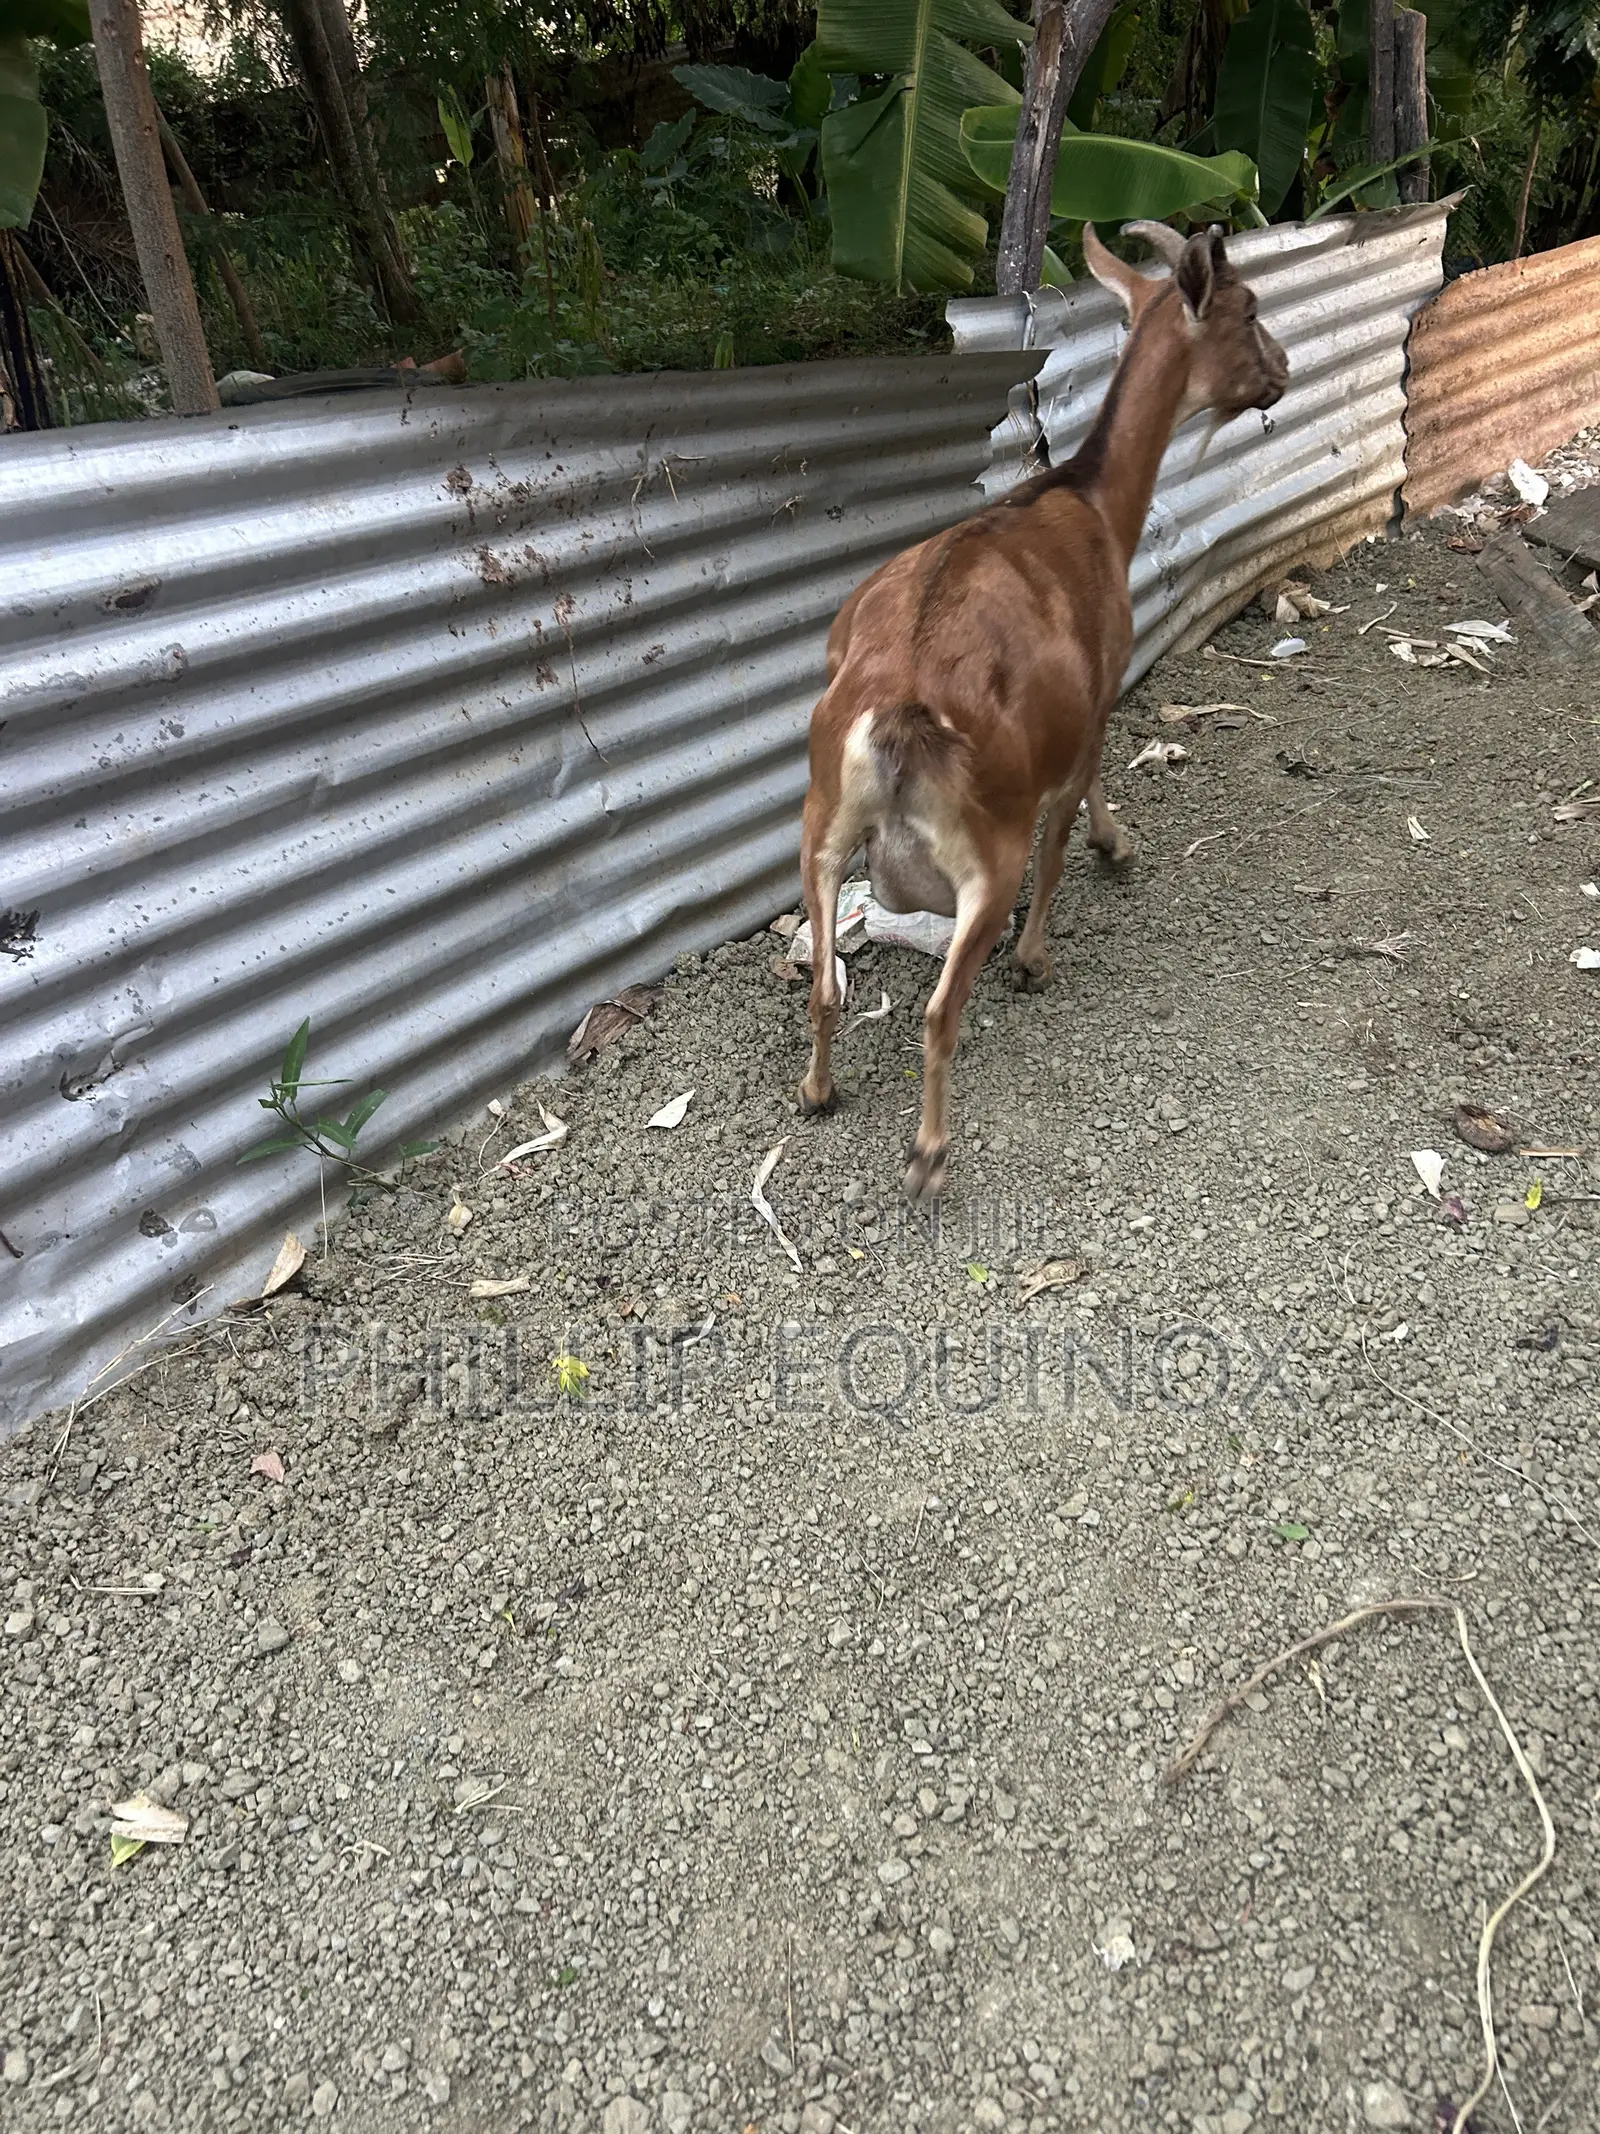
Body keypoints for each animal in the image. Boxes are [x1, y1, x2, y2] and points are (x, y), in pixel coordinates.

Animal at [796, 219, 1289, 1202]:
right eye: (1249, 307)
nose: (1284, 368)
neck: (1090, 503)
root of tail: (895, 718)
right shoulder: (1097, 698)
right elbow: (1069, 827)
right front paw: (1066, 916)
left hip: (822, 825)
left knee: (825, 982)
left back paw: (819, 1092)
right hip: (985, 853)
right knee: (941, 1007)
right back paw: (928, 1155)